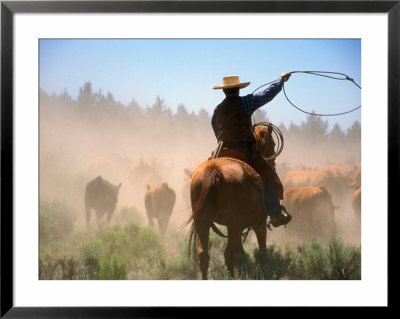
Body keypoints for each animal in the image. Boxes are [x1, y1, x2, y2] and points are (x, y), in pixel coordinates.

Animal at [188, 124, 280, 280]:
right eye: (272, 144)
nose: (273, 164)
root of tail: (214, 170)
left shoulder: (240, 228)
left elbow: (241, 253)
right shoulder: (259, 223)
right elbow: (262, 252)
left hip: (204, 222)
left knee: (204, 256)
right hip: (233, 225)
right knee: (228, 255)